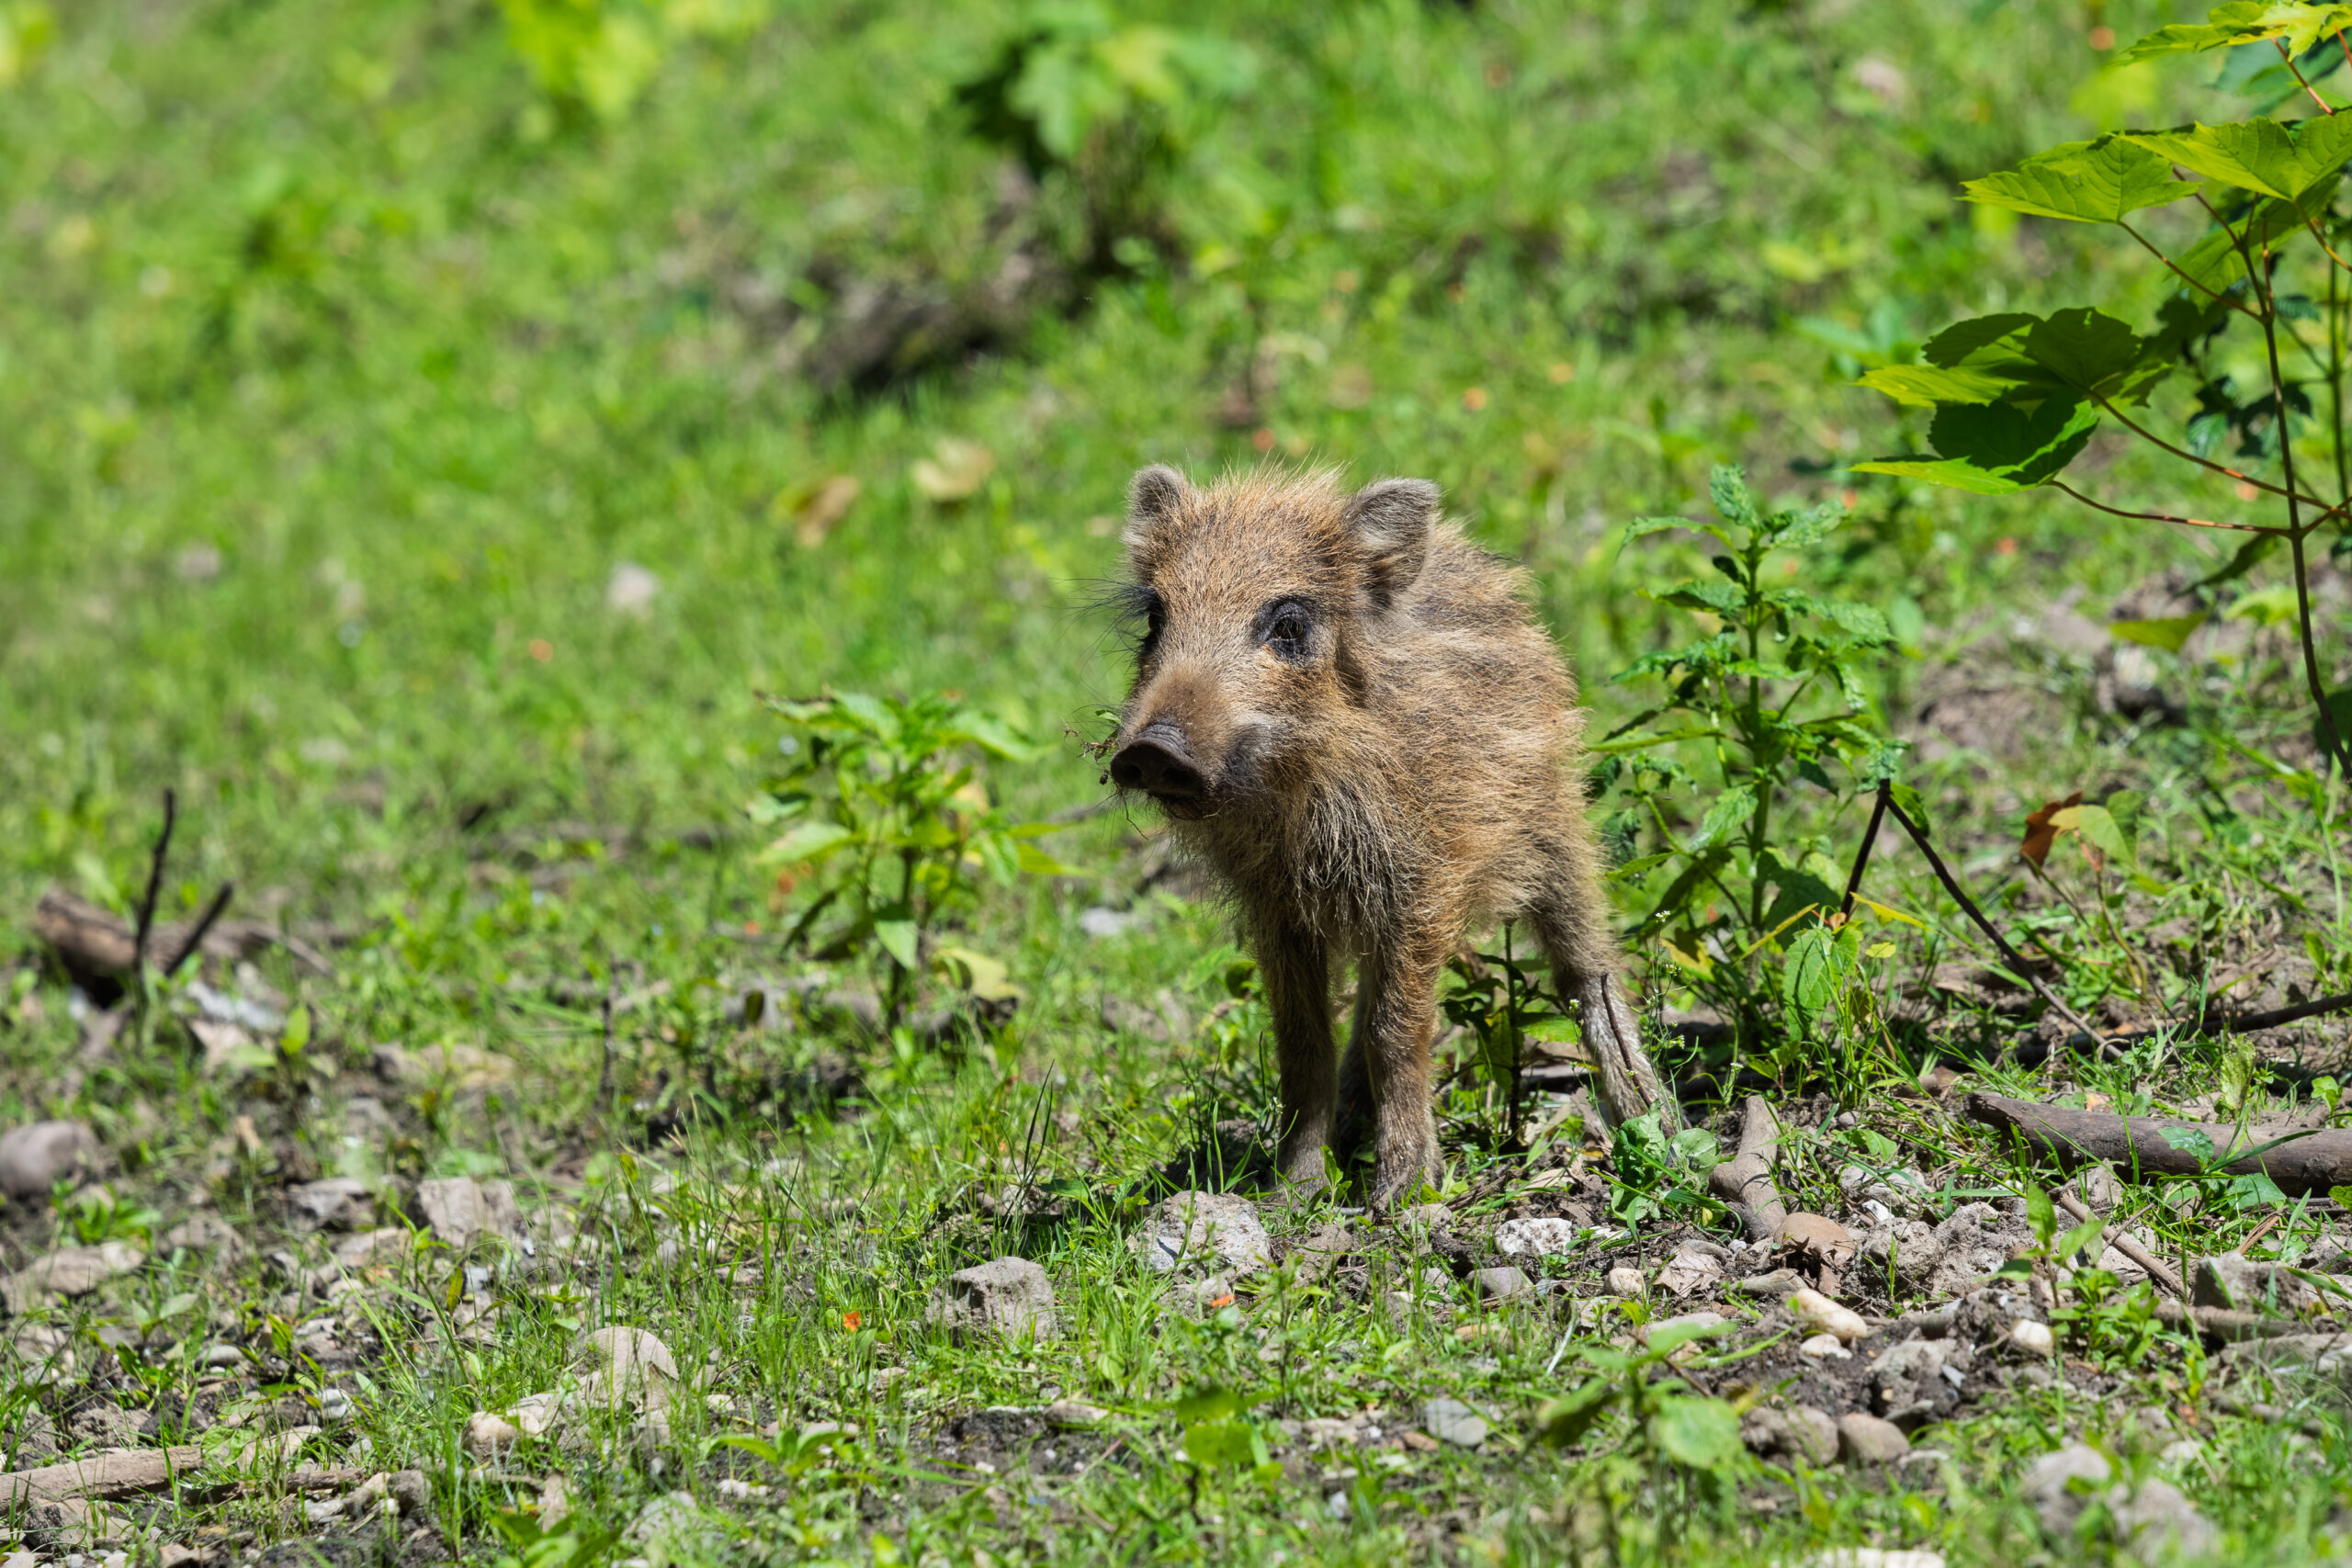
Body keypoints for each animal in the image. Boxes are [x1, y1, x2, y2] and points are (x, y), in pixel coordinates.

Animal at [1103, 464, 1676, 1207]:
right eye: (1156, 618)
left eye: (1289, 624)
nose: (1153, 748)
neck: (1301, 801)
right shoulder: (1276, 906)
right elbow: (1302, 1039)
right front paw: (1292, 1191)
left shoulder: (1423, 884)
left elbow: (1396, 1030)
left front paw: (1402, 1197)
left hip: (1557, 829)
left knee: (1590, 969)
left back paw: (1653, 1127)